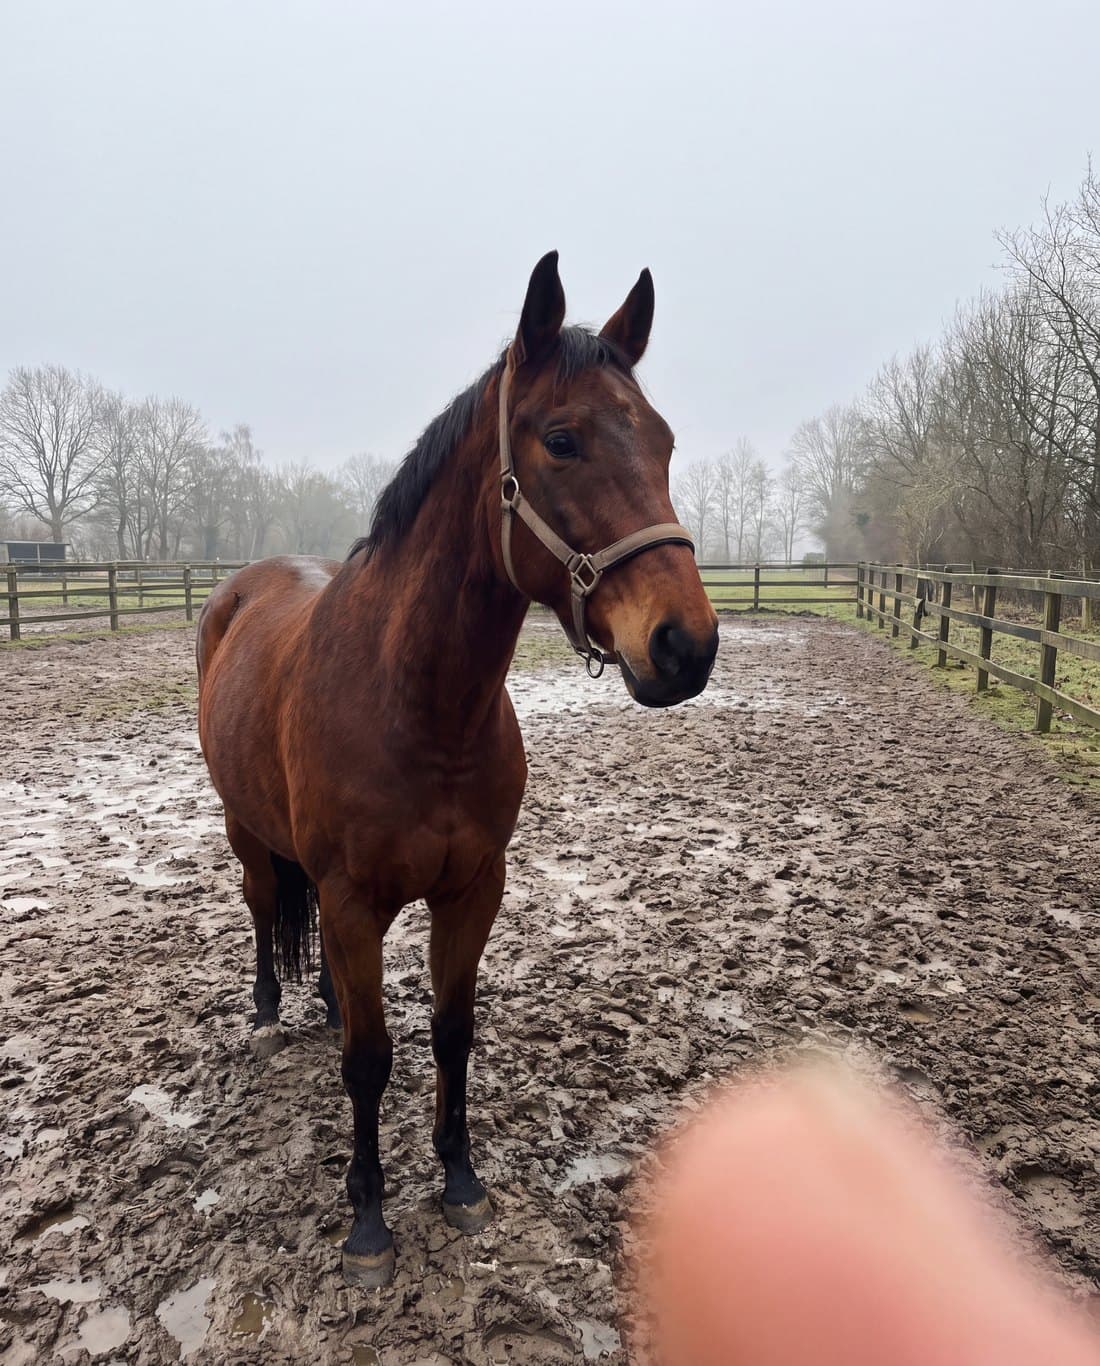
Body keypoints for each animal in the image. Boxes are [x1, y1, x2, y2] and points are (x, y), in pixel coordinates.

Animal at [195, 252, 719, 1287]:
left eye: (664, 440)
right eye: (561, 440)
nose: (686, 646)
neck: (417, 705)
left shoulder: (474, 888)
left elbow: (450, 1031)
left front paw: (460, 1178)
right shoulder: (354, 896)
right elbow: (370, 1060)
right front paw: (367, 1221)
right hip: (246, 833)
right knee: (264, 906)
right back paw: (270, 1008)